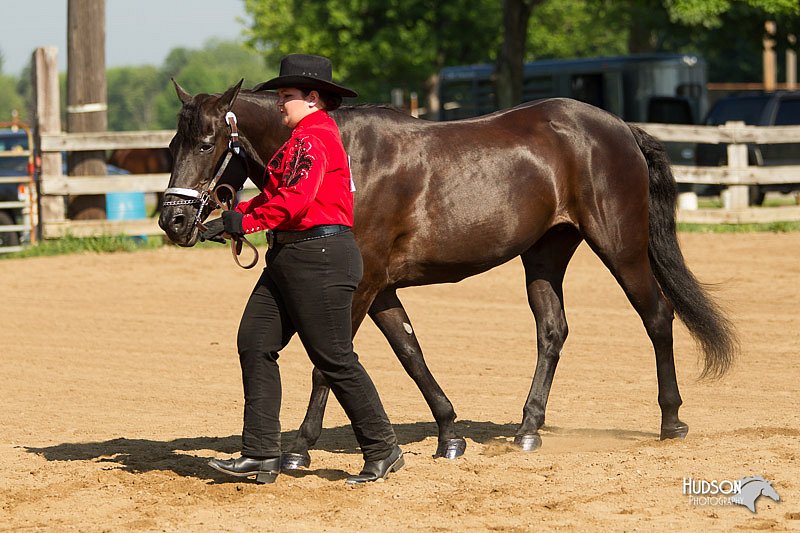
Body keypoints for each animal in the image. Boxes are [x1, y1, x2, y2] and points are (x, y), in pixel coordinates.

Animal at [159, 80, 740, 470]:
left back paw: (671, 421)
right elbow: (410, 354)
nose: (173, 220)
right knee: (552, 331)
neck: (346, 158)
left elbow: (329, 363)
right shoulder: (381, 289)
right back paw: (528, 429)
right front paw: (449, 435)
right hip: (545, 254)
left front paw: (300, 449)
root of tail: (619, 127)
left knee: (657, 316)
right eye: (171, 145)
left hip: (620, 245)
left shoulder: (361, 285)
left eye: (208, 142)